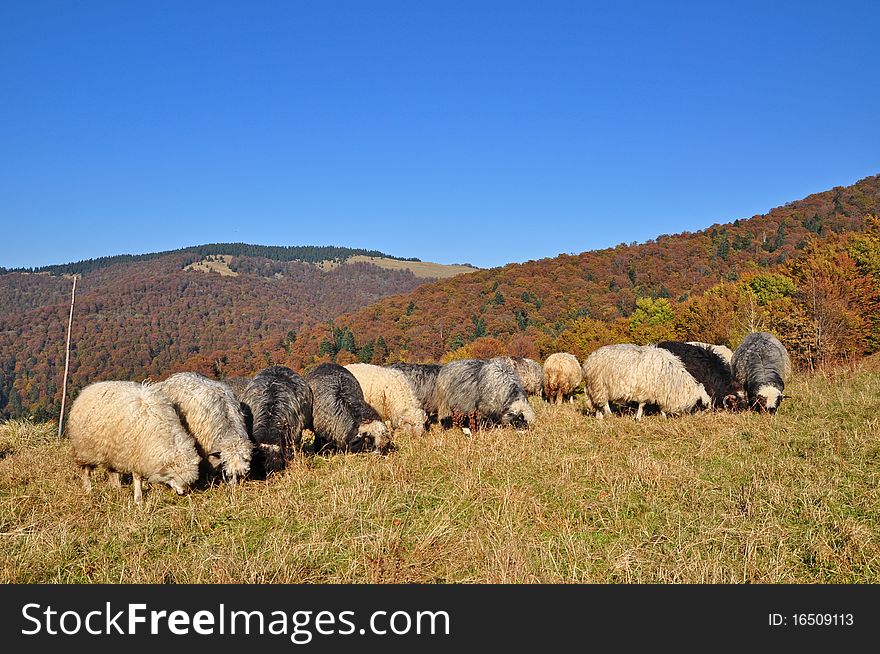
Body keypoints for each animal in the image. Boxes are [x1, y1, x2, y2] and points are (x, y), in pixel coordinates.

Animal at [580, 346, 712, 422]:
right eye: (702, 404)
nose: (700, 419)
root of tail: (589, 360)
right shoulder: (645, 389)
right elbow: (642, 404)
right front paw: (638, 418)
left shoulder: (659, 391)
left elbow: (660, 405)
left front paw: (663, 416)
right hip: (600, 385)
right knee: (603, 402)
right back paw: (608, 414)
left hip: (595, 387)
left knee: (598, 403)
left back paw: (599, 417)